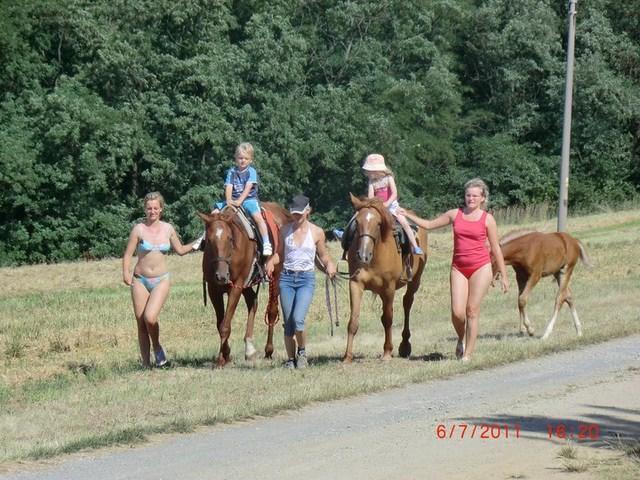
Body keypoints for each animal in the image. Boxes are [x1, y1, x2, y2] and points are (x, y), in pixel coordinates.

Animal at [198, 202, 290, 368]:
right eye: (208, 241)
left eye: (230, 239)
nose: (221, 276)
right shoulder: (213, 289)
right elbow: (220, 323)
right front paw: (226, 355)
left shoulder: (236, 287)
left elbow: (225, 326)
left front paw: (221, 359)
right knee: (253, 301)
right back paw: (249, 349)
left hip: (276, 277)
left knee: (272, 312)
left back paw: (268, 350)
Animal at [342, 193, 428, 362]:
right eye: (357, 222)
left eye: (378, 223)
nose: (362, 255)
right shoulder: (356, 284)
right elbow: (353, 320)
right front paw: (347, 357)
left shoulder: (389, 288)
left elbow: (388, 319)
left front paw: (387, 352)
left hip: (414, 281)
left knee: (407, 303)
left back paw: (404, 345)